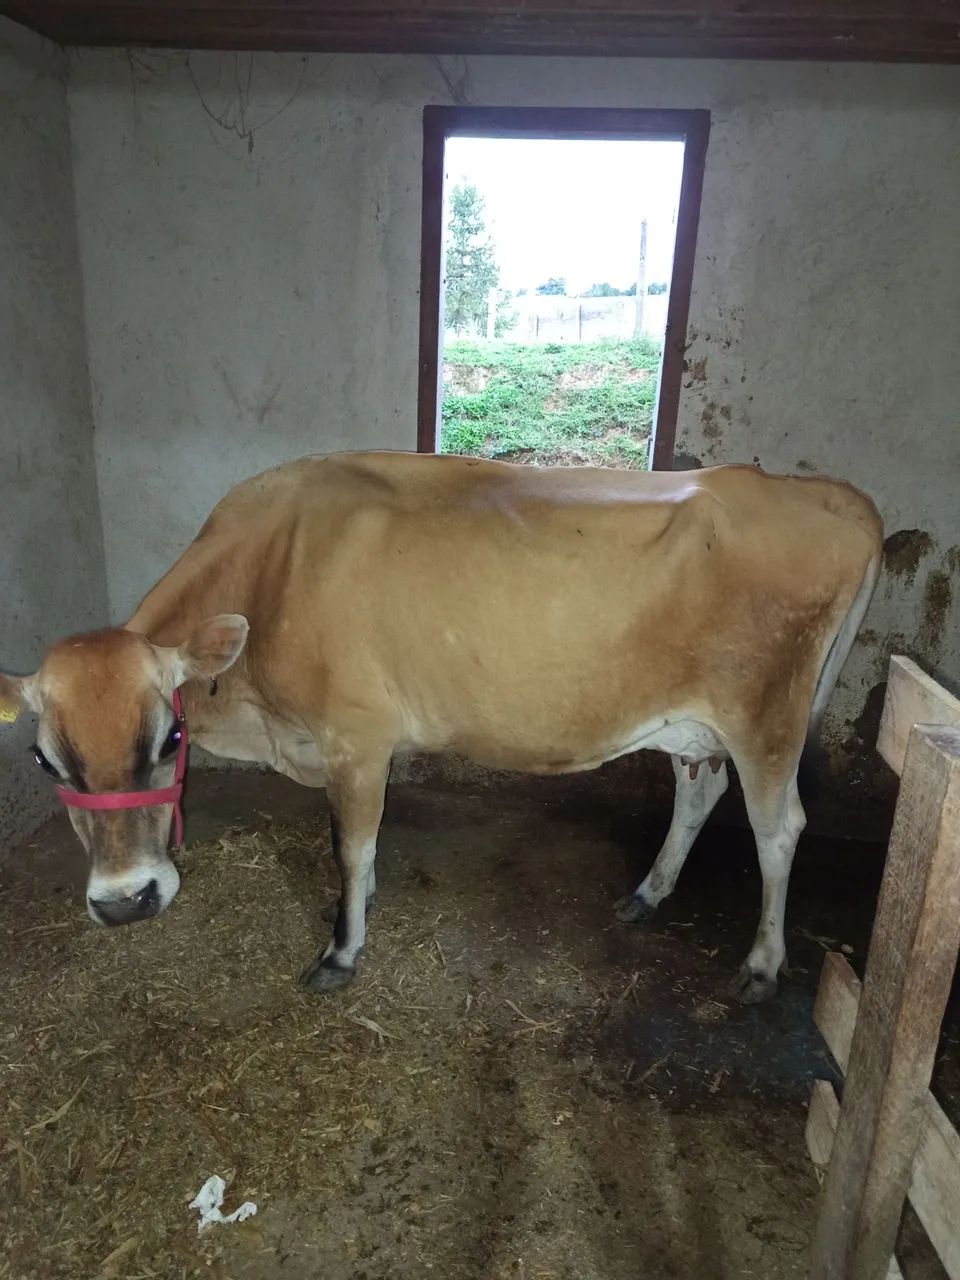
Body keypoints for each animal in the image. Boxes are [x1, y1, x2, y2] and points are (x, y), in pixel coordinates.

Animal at [0, 451, 883, 1003]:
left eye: (169, 741)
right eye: (45, 763)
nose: (126, 902)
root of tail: (834, 497)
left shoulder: (356, 734)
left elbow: (348, 845)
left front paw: (342, 948)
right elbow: (362, 842)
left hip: (766, 714)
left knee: (779, 829)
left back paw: (762, 965)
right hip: (694, 727)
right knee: (699, 798)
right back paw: (648, 893)